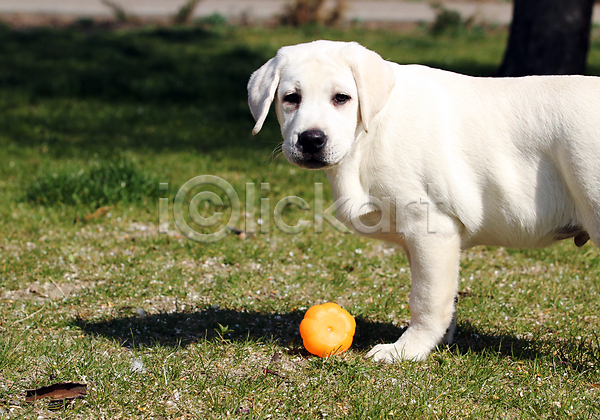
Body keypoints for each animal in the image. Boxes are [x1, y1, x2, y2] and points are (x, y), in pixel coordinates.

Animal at [247, 41, 596, 364]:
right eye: (291, 98)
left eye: (341, 98)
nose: (311, 139)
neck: (372, 130)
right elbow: (446, 296)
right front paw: (439, 341)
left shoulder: (431, 230)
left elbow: (426, 300)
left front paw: (407, 349)